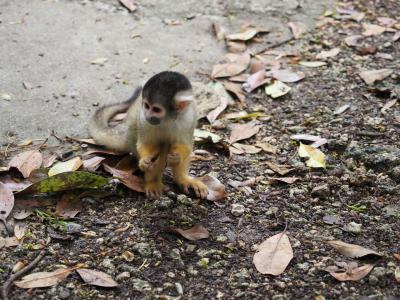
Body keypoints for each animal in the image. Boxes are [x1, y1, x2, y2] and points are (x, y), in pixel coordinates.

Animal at [89, 71, 208, 199]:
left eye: (156, 109)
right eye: (146, 106)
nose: (148, 116)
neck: (168, 119)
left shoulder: (188, 118)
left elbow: (185, 145)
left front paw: (177, 157)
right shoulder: (143, 119)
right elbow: (146, 144)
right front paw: (145, 161)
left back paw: (182, 179)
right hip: (132, 137)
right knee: (161, 145)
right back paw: (153, 182)